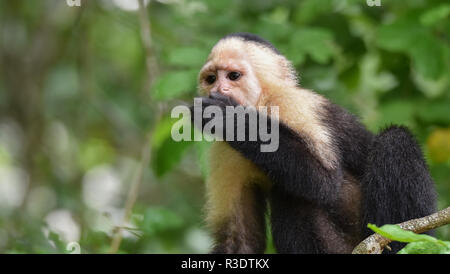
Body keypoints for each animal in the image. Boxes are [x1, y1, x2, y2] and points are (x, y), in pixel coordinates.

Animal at [190, 32, 436, 255]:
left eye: (233, 76)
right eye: (211, 79)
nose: (217, 90)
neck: (260, 105)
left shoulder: (292, 105)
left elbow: (323, 181)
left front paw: (230, 117)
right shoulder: (224, 152)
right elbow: (238, 240)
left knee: (395, 140)